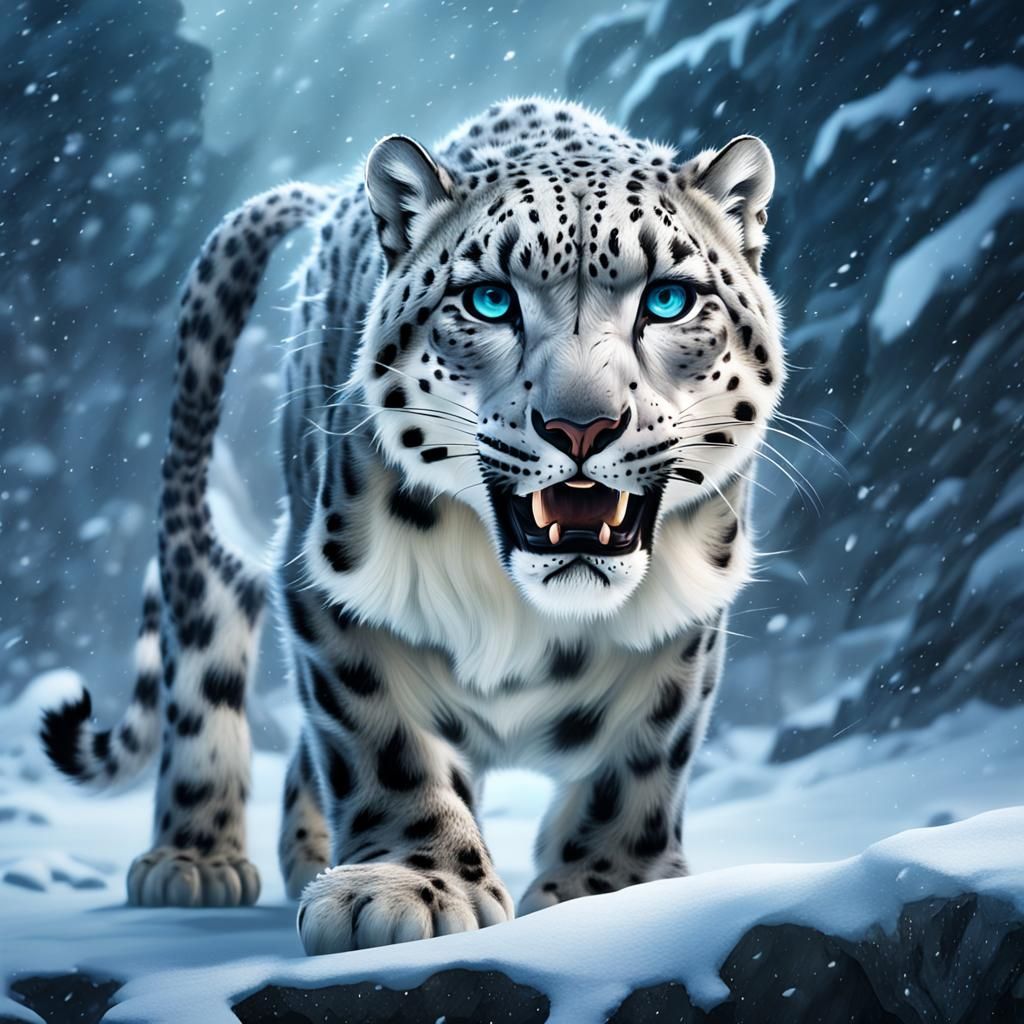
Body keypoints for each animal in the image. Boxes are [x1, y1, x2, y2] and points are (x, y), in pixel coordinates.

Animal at [41, 96, 783, 956]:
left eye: (668, 299)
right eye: (490, 299)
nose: (582, 427)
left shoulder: (689, 606)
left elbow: (645, 754)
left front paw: (610, 888)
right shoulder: (331, 584)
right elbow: (383, 740)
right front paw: (405, 888)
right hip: (210, 540)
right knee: (206, 646)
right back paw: (193, 862)